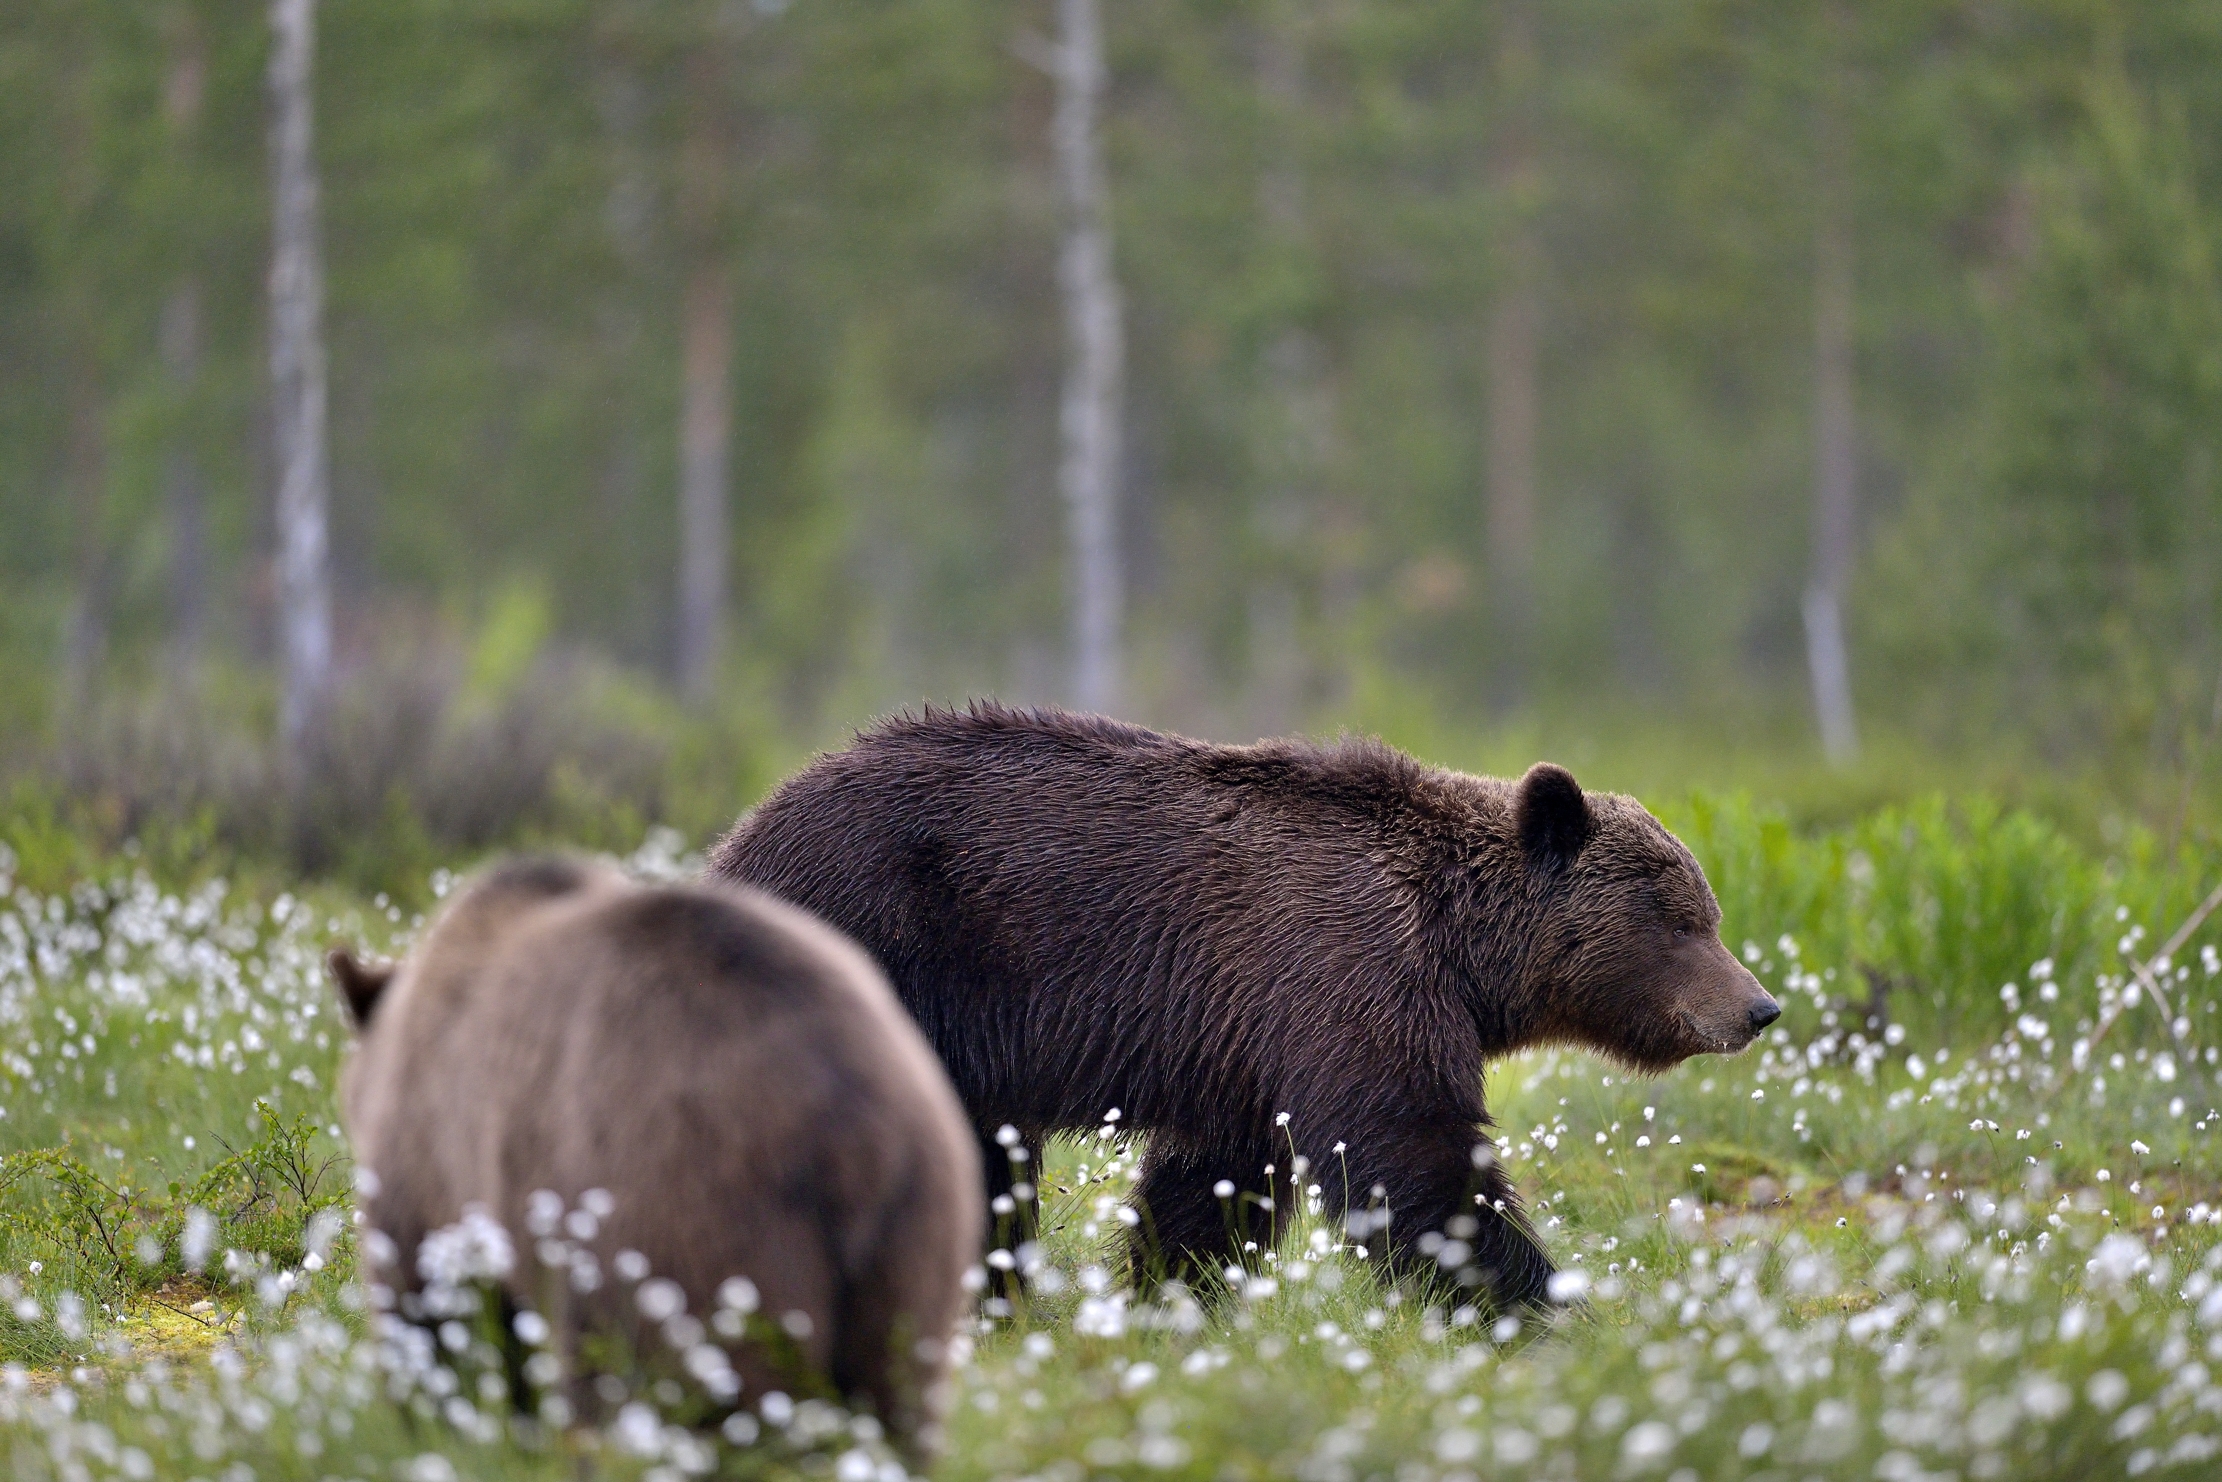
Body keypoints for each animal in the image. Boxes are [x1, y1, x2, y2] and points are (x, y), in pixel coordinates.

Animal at [329, 855, 982, 1459]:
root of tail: (857, 1131)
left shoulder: (429, 1166)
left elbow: (431, 1312)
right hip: (916, 1237)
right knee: (899, 1400)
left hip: (695, 1227)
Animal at [707, 702, 1778, 1310]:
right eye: (1680, 918)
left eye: (1710, 912)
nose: (1758, 1007)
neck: (1461, 950)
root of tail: (737, 838)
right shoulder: (1342, 970)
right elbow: (1412, 1157)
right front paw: (1547, 1303)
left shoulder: (1244, 1040)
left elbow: (1211, 1187)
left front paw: (1169, 1299)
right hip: (882, 941)